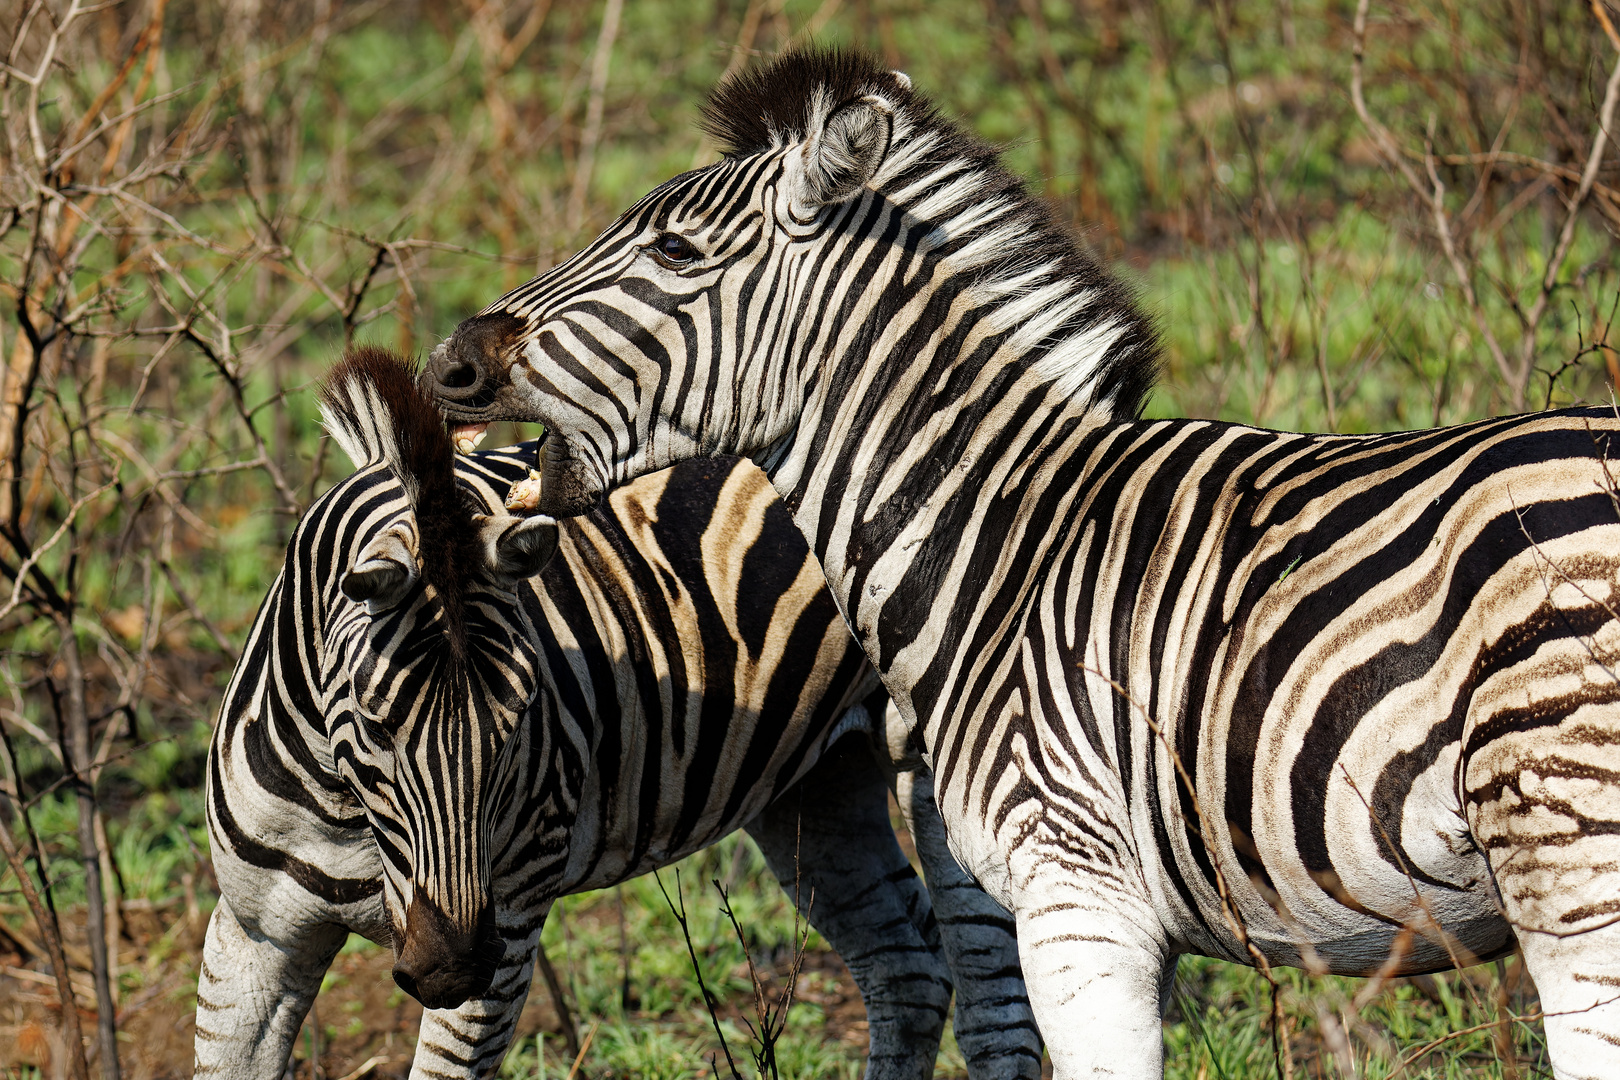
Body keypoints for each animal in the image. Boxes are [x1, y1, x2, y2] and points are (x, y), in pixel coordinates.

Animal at [192, 348, 1036, 1080]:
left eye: (519, 722)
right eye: (375, 723)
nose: (451, 966)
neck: (344, 813)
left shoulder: (510, 923)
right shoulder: (255, 936)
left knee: (996, 1006)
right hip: (814, 784)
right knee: (907, 969)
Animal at [424, 48, 1620, 1080]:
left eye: (674, 251)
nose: (449, 364)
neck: (999, 546)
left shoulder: (1077, 901)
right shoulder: (1114, 920)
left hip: (1570, 862)